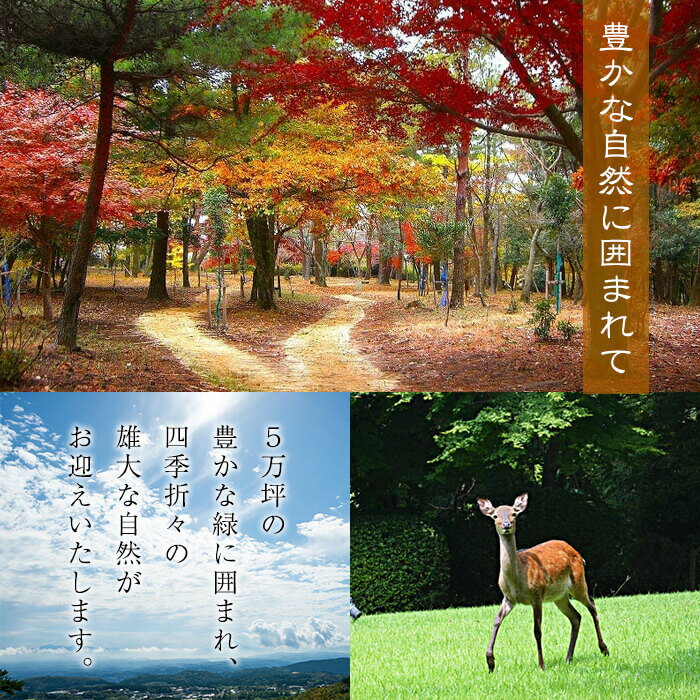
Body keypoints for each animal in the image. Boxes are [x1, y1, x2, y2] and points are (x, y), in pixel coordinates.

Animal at [477, 493, 609, 672]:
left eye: (514, 514)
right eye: (495, 516)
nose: (506, 525)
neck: (517, 580)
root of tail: (579, 554)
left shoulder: (537, 595)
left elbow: (537, 630)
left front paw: (541, 664)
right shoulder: (509, 598)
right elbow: (496, 620)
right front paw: (490, 662)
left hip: (578, 582)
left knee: (592, 605)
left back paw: (604, 649)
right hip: (559, 597)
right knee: (576, 616)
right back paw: (568, 657)